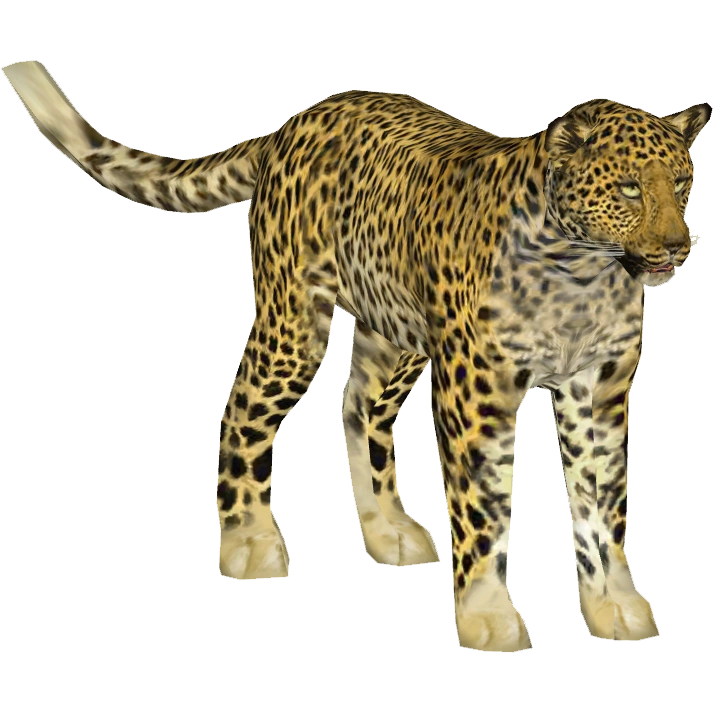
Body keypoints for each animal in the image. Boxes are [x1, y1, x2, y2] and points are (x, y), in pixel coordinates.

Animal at [3, 59, 709, 654]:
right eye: (627, 189)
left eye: (681, 183)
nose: (678, 247)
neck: (581, 271)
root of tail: (293, 122)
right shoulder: (477, 393)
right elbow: (484, 509)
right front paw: (488, 616)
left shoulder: (597, 391)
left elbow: (601, 506)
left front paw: (614, 606)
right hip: (292, 325)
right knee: (242, 413)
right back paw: (249, 542)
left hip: (394, 330)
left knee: (361, 409)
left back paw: (388, 531)